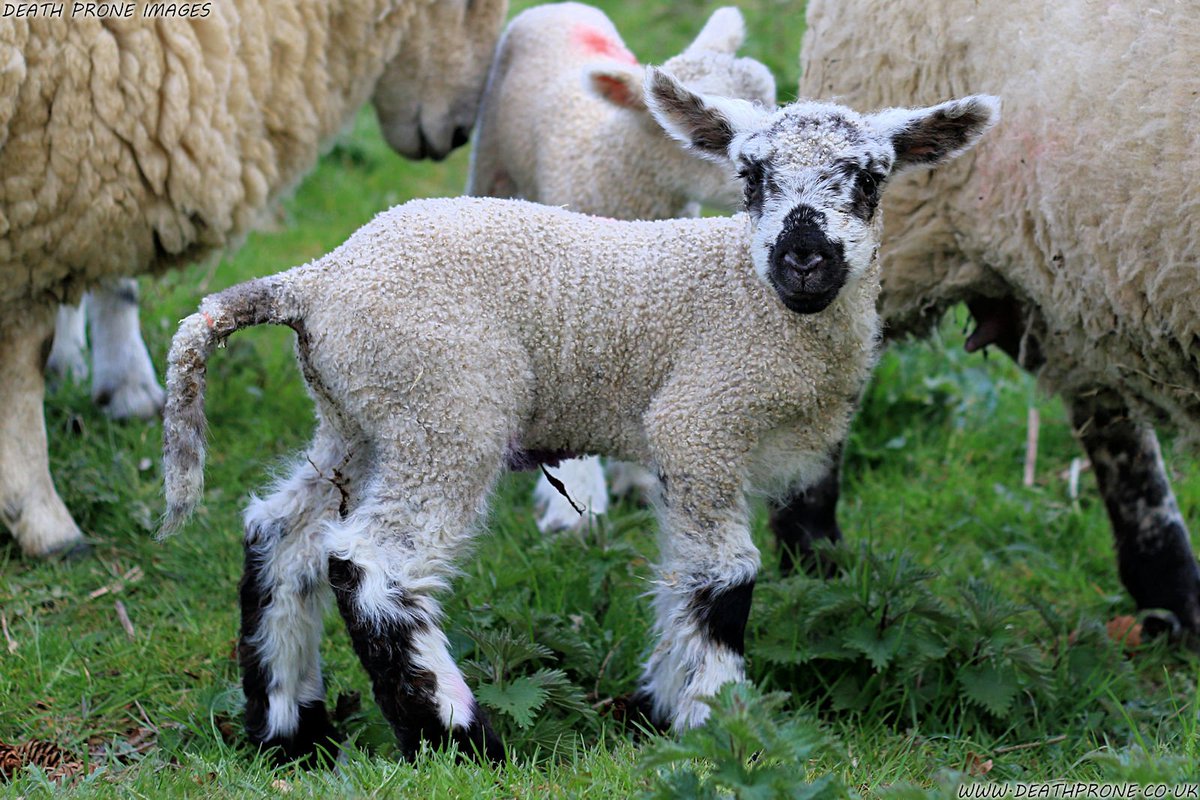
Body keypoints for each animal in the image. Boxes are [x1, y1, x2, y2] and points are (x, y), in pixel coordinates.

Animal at [0, 0, 507, 558]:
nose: (458, 135)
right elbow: (21, 360)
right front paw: (43, 519)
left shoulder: (87, 156)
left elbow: (111, 272)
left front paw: (126, 387)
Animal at [159, 67, 997, 760]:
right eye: (751, 174)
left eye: (871, 178)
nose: (804, 260)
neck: (752, 296)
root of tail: (314, 280)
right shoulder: (701, 419)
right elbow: (722, 576)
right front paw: (720, 725)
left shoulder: (707, 445)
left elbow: (682, 574)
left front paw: (665, 705)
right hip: (448, 403)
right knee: (372, 564)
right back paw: (457, 738)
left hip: (360, 415)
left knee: (282, 533)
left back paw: (288, 729)